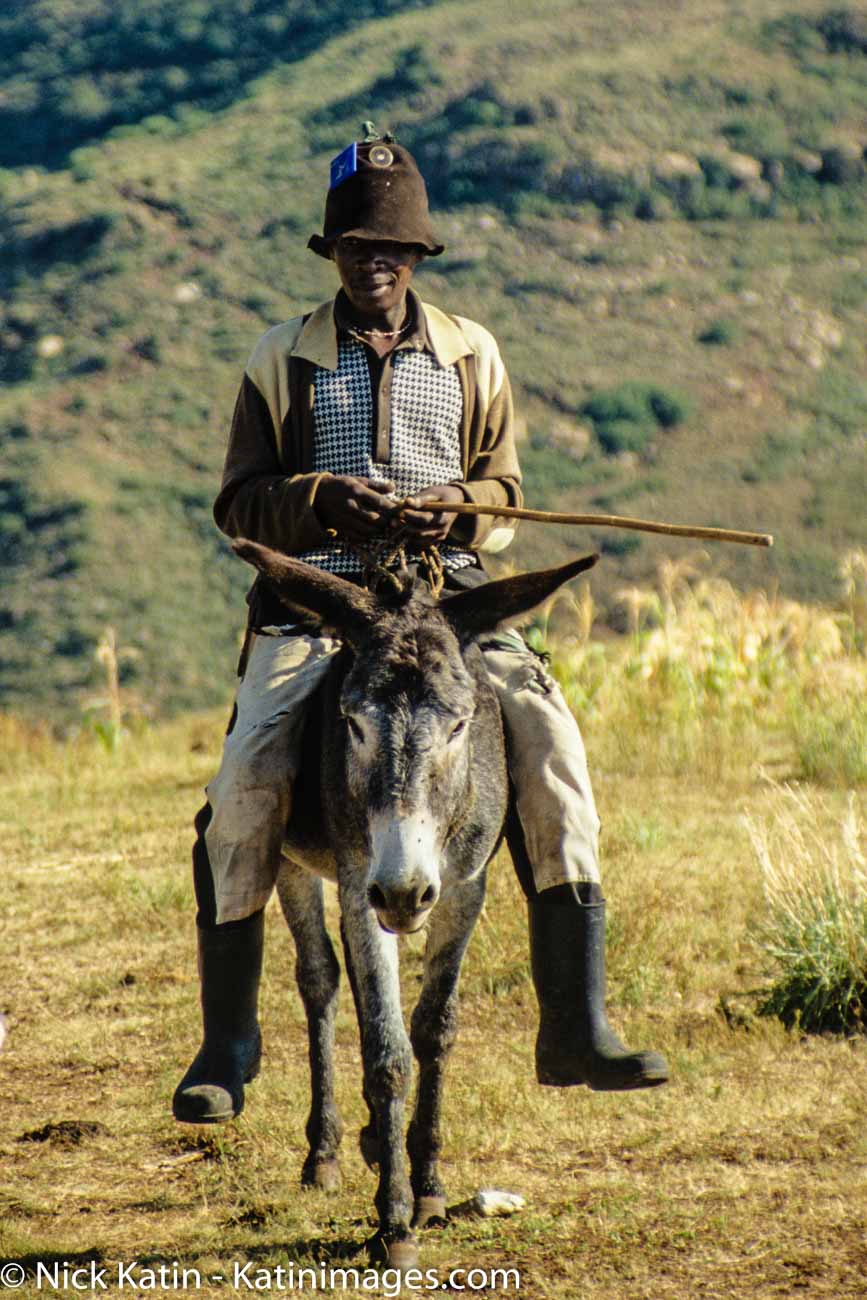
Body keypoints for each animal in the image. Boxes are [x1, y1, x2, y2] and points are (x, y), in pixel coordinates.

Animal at [233, 539, 599, 1268]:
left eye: (460, 725)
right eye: (350, 723)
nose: (402, 890)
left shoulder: (462, 887)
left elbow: (432, 1030)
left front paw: (428, 1186)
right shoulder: (357, 883)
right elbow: (387, 1052)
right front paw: (394, 1222)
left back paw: (380, 1142)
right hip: (287, 847)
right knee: (319, 979)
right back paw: (324, 1152)